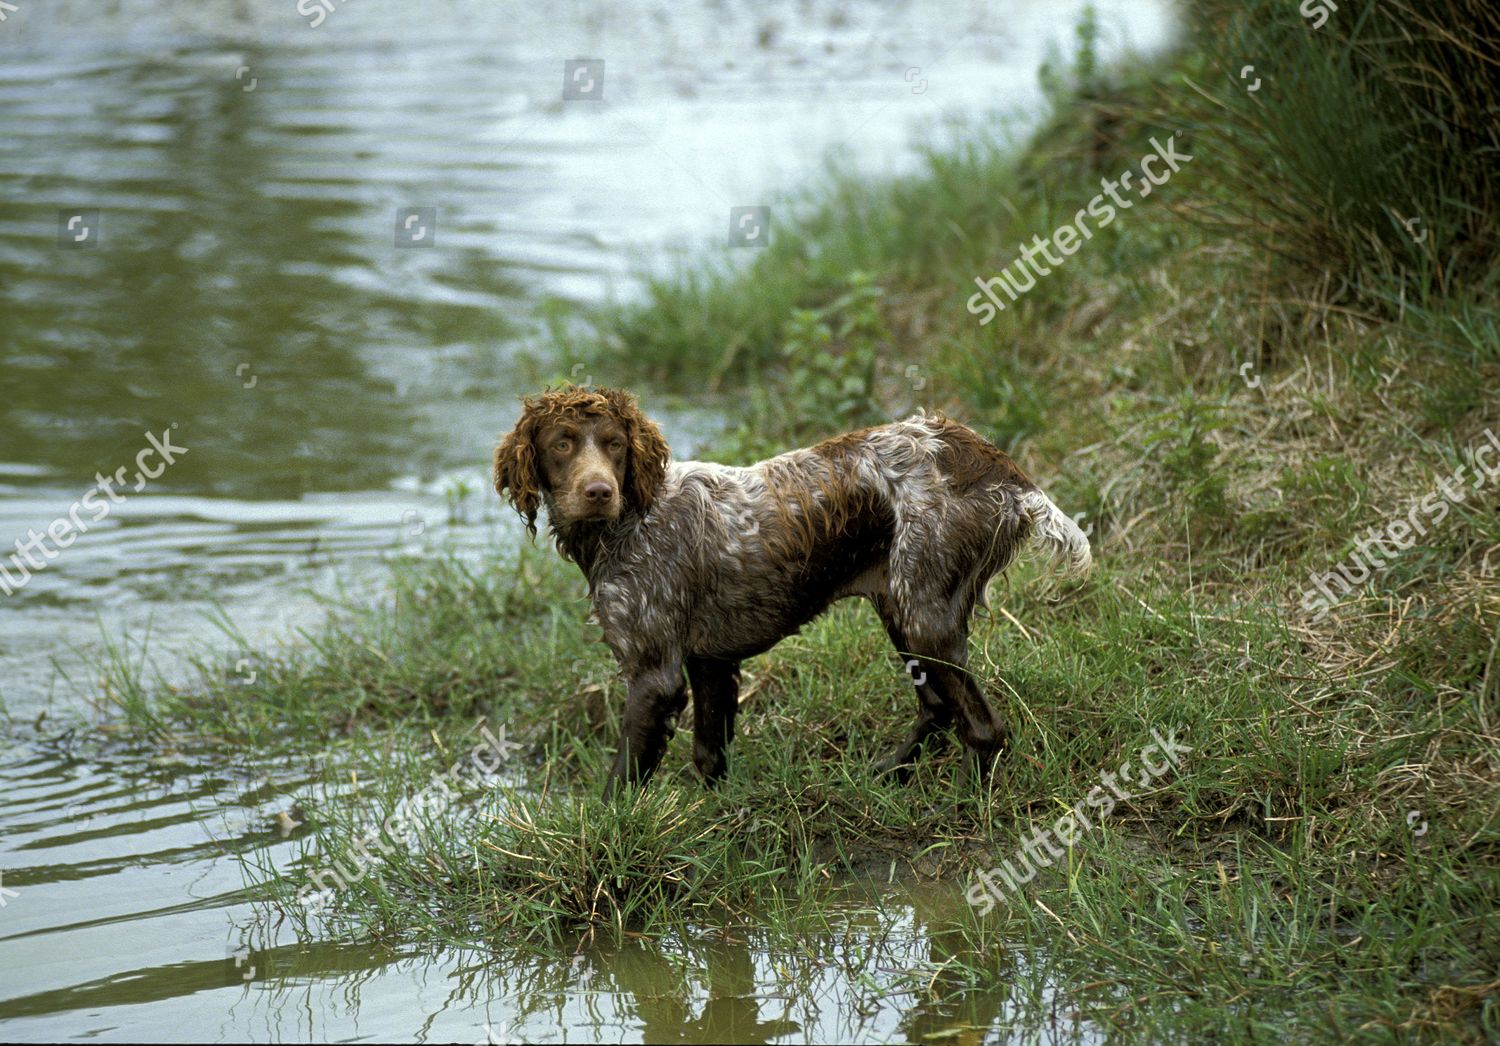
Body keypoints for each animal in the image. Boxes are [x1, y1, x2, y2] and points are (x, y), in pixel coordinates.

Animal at [492, 387, 1092, 798]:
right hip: (902, 607)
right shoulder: (710, 662)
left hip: (924, 614)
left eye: (615, 445)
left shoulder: (653, 675)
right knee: (940, 708)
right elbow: (709, 757)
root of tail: (998, 467)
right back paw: (884, 775)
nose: (599, 490)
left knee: (984, 729)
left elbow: (619, 789)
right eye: (562, 444)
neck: (631, 520)